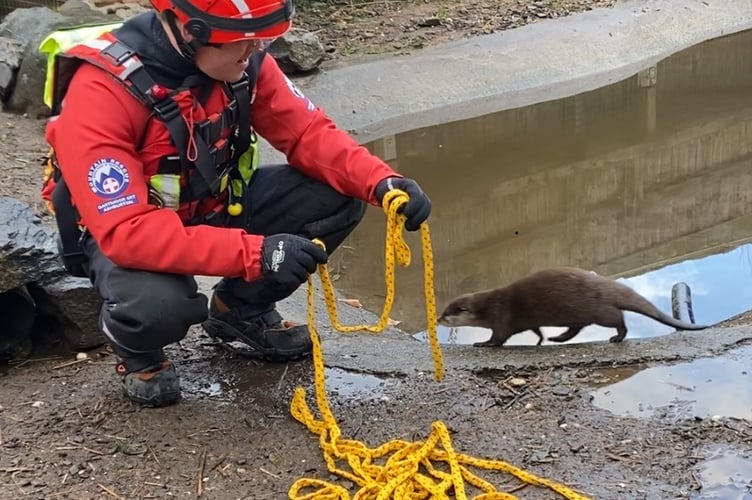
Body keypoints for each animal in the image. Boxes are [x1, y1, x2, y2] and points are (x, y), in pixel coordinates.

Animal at [437, 267, 709, 347]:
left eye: (447, 313)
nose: (438, 319)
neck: (487, 306)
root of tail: (605, 285)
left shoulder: (501, 317)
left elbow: (499, 337)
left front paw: (482, 343)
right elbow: (536, 330)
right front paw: (540, 341)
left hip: (597, 310)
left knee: (618, 318)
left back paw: (616, 338)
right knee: (577, 327)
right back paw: (557, 338)